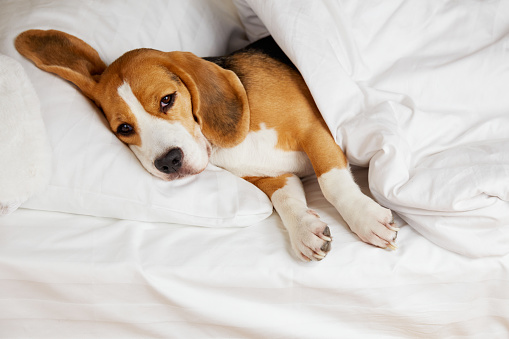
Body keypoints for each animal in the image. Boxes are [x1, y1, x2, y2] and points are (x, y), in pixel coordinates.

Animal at [14, 29, 396, 262]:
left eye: (167, 100)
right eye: (124, 128)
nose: (168, 161)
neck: (220, 143)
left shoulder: (314, 130)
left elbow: (331, 183)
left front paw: (364, 218)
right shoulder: (270, 176)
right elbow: (285, 201)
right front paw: (304, 229)